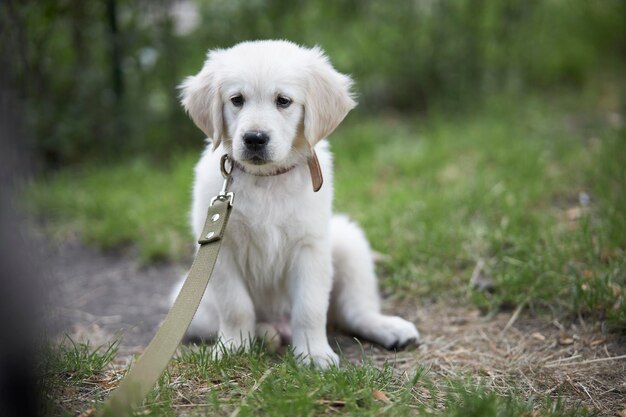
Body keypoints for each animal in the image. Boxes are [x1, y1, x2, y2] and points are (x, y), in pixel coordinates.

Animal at [172, 39, 420, 368]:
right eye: (237, 100)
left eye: (283, 101)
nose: (254, 138)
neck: (266, 180)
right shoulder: (220, 250)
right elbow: (236, 306)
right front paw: (232, 348)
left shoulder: (309, 246)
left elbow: (310, 307)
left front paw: (313, 354)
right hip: (195, 307)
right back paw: (263, 334)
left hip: (349, 242)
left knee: (355, 312)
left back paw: (389, 327)